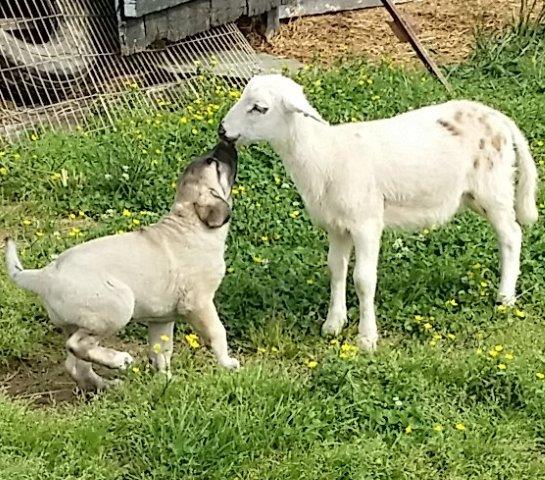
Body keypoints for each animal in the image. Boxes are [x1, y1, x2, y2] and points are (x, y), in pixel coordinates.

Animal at [5, 141, 240, 392]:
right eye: (214, 164)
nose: (225, 142)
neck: (190, 221)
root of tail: (45, 275)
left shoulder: (162, 320)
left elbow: (161, 352)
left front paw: (165, 381)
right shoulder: (199, 303)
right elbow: (217, 333)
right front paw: (227, 363)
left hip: (78, 322)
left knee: (76, 364)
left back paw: (105, 385)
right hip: (117, 306)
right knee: (77, 345)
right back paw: (119, 361)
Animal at [219, 76, 536, 352]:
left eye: (259, 108)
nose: (222, 130)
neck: (325, 155)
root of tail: (499, 118)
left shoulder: (366, 223)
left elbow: (363, 279)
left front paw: (367, 338)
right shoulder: (337, 225)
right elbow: (336, 269)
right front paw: (333, 324)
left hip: (493, 188)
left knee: (511, 235)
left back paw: (505, 297)